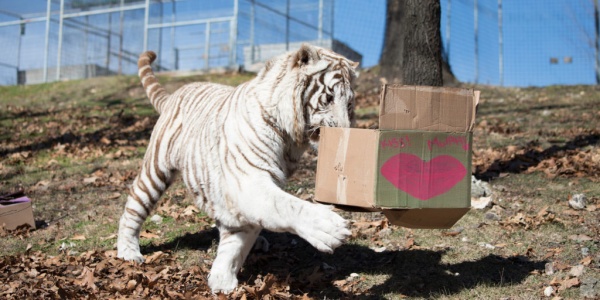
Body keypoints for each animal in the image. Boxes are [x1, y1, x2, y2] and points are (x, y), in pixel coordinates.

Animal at [118, 44, 360, 292]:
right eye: (329, 98)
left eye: (350, 104)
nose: (347, 132)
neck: (291, 141)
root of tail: (172, 96)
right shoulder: (247, 180)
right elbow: (286, 205)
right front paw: (329, 228)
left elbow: (237, 241)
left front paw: (222, 278)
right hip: (155, 172)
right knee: (133, 207)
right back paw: (128, 251)